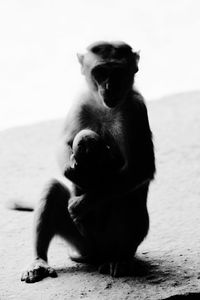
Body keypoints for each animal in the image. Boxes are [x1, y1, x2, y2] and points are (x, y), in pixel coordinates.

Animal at [21, 41, 155, 282]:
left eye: (118, 72)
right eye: (100, 72)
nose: (110, 87)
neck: (105, 107)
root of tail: (97, 254)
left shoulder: (136, 109)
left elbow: (141, 168)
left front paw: (83, 202)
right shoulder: (81, 101)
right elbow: (63, 144)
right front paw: (72, 170)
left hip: (118, 240)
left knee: (128, 196)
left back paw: (121, 259)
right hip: (81, 240)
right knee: (52, 189)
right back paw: (39, 261)